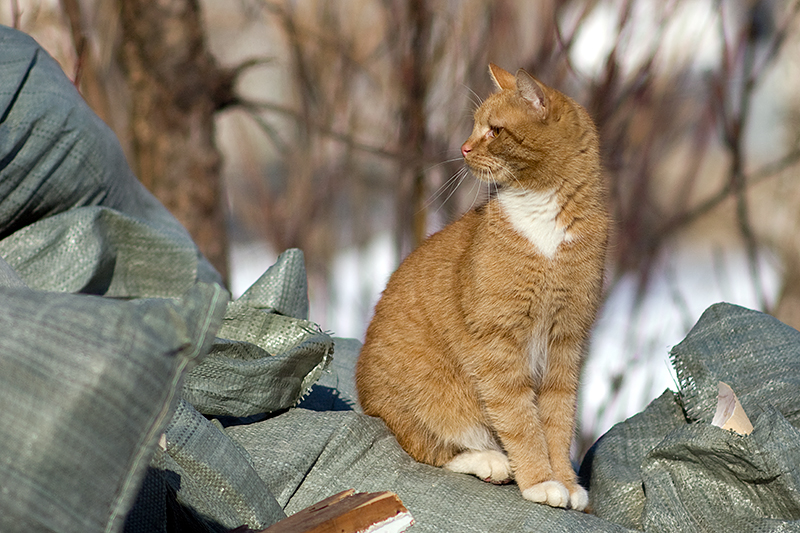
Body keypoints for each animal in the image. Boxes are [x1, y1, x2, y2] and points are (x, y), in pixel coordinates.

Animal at [356, 64, 608, 510]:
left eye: (494, 130)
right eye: (475, 127)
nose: (464, 147)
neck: (543, 219)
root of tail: (364, 401)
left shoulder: (566, 342)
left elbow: (558, 422)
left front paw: (565, 480)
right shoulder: (497, 342)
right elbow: (521, 419)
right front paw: (540, 481)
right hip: (430, 396)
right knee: (427, 448)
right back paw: (491, 460)